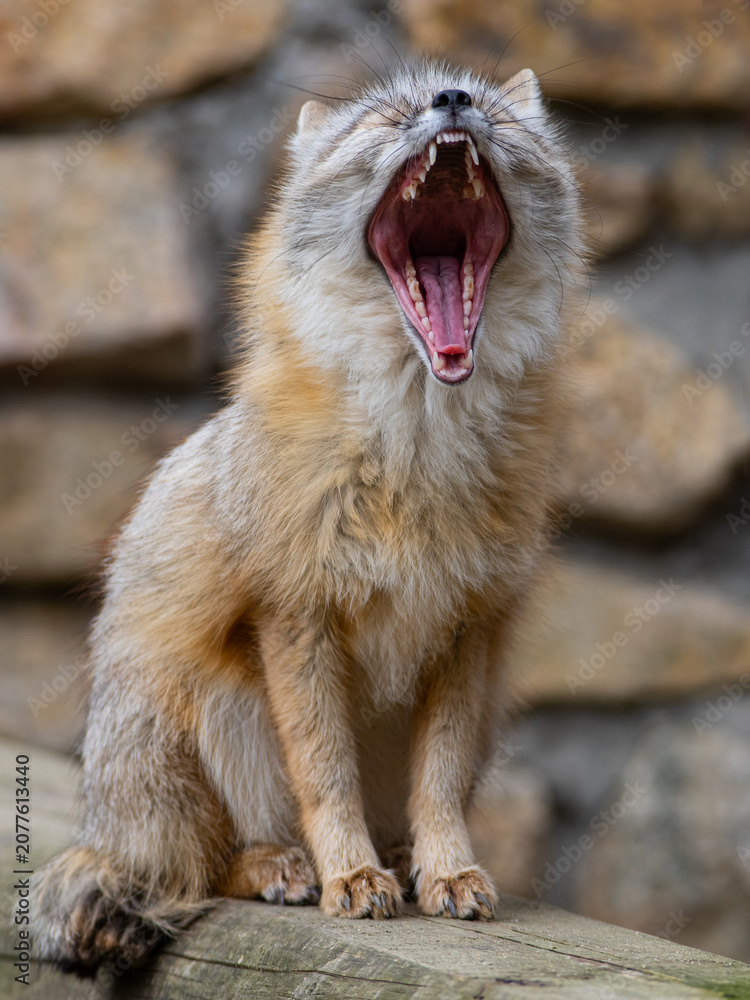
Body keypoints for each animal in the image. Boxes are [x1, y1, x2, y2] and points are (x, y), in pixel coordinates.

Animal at [30, 61, 584, 976]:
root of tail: (103, 830)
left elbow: (437, 785)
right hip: (208, 701)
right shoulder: (296, 615)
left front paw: (447, 870)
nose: (453, 102)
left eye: (495, 112)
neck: (415, 461)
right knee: (199, 865)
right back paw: (283, 867)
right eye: (384, 119)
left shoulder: (468, 625)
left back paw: (399, 857)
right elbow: (325, 774)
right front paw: (348, 876)